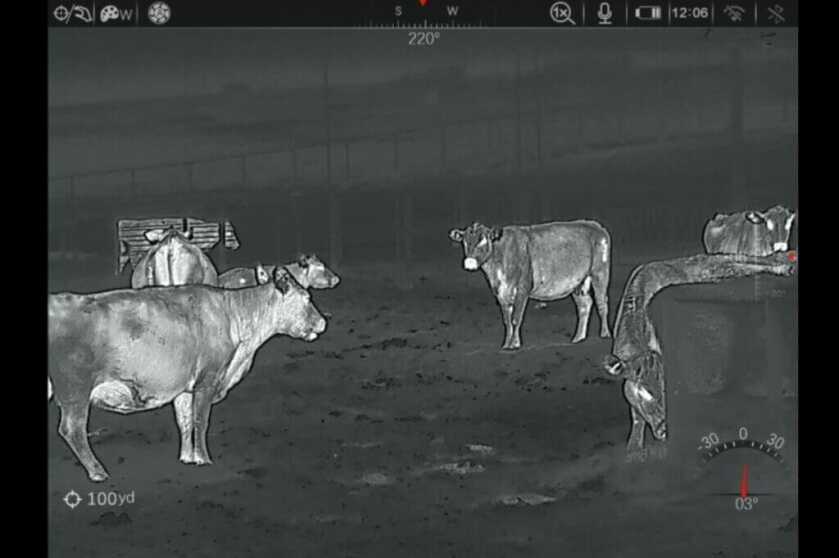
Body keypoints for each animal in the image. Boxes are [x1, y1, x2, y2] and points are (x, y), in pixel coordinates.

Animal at [48, 266, 327, 482]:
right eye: (305, 298)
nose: (323, 322)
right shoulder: (208, 379)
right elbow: (200, 420)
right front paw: (203, 458)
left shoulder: (183, 385)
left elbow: (184, 420)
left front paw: (187, 457)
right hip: (75, 389)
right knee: (72, 429)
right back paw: (98, 472)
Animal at [448, 220, 612, 350]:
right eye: (464, 242)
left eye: (483, 241)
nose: (469, 263)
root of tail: (595, 226)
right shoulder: (501, 292)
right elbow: (507, 321)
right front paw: (506, 345)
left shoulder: (523, 288)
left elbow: (515, 319)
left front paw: (514, 345)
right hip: (578, 282)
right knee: (585, 305)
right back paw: (578, 339)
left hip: (600, 271)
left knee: (601, 303)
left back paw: (604, 335)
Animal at [603, 251, 797, 455]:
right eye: (644, 392)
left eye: (665, 387)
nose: (664, 430)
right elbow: (636, 416)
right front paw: (634, 445)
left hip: (722, 268)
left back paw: (784, 266)